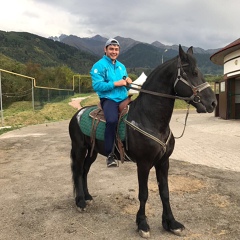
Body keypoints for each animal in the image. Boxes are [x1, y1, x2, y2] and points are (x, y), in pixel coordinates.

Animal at [68, 45, 217, 238]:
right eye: (193, 72)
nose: (213, 103)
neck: (149, 118)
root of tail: (77, 114)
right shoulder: (144, 164)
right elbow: (144, 194)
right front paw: (142, 224)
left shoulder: (163, 162)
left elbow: (165, 192)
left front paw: (171, 223)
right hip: (79, 149)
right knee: (78, 171)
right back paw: (80, 202)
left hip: (92, 151)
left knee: (85, 170)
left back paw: (87, 197)